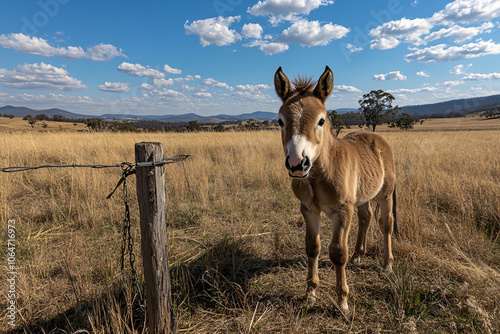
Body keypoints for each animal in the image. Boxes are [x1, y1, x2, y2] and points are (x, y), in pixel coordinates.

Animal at [274, 66, 398, 314]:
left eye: (321, 120)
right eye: (280, 122)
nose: (297, 164)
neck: (318, 176)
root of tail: (375, 137)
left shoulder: (342, 211)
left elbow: (338, 252)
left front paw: (342, 301)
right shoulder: (309, 209)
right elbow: (312, 247)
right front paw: (310, 293)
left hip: (385, 194)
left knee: (385, 224)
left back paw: (387, 264)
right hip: (363, 196)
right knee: (366, 217)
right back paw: (358, 255)